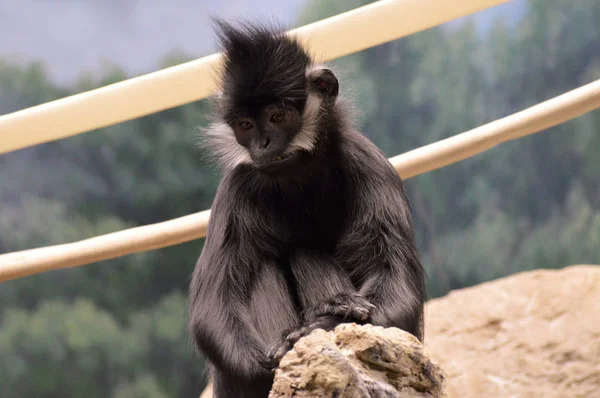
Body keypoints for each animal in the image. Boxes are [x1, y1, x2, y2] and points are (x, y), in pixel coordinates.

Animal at [189, 18, 426, 398]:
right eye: (245, 125)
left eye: (277, 116)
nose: (262, 144)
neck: (299, 177)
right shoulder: (236, 188)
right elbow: (211, 306)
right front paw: (274, 359)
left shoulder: (370, 165)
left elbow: (399, 290)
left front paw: (323, 321)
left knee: (305, 252)